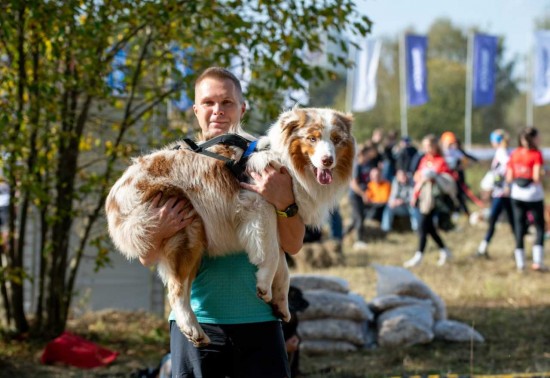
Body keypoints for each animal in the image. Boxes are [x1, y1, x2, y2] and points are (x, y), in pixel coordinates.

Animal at [105, 106, 356, 346]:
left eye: (336, 139)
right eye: (312, 138)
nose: (327, 160)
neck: (286, 161)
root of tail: (114, 197)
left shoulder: (276, 217)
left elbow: (283, 266)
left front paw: (280, 302)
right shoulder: (257, 205)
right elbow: (272, 255)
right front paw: (264, 284)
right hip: (187, 226)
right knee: (176, 290)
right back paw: (193, 329)